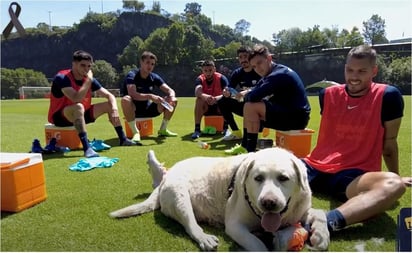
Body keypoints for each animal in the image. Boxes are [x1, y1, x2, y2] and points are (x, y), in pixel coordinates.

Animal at [109, 147, 328, 252]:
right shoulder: (235, 226)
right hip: (180, 196)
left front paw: (321, 236)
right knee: (190, 225)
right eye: (258, 178)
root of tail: (165, 178)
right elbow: (258, 245)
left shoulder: (301, 209)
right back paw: (204, 238)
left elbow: (320, 214)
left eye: (283, 178)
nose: (268, 203)